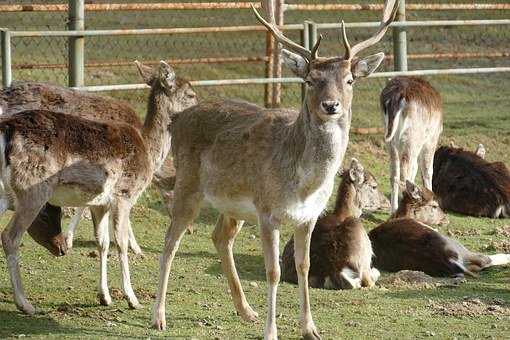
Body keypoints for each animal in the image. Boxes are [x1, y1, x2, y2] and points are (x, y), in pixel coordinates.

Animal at [380, 76, 444, 212]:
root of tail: (398, 94)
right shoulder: (431, 139)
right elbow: (428, 170)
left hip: (390, 139)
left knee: (395, 173)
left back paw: (394, 209)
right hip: (412, 137)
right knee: (406, 172)